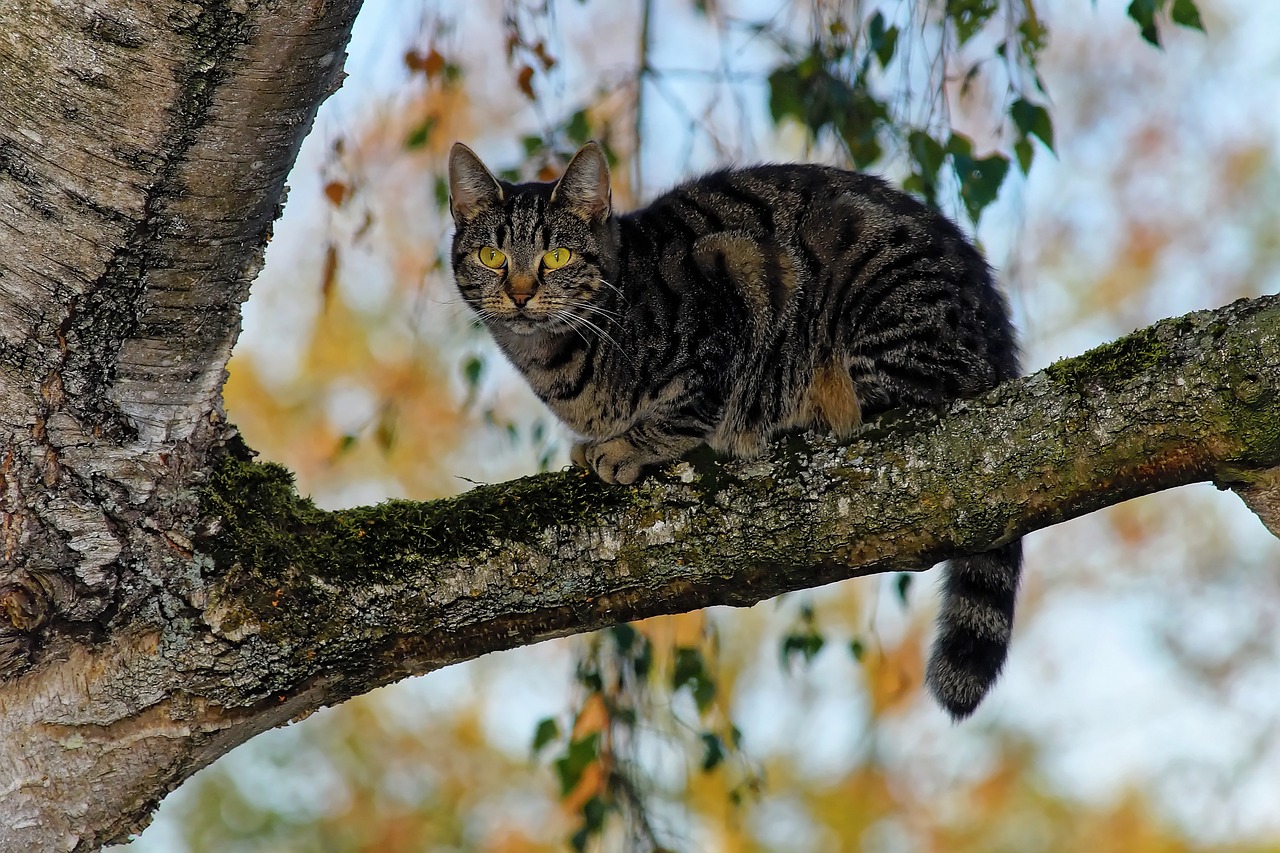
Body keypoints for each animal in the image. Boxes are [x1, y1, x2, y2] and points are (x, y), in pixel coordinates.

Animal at [448, 139, 1018, 717]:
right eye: (492, 256)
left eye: (557, 257)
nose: (520, 294)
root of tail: (1002, 348)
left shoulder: (726, 288)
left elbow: (688, 402)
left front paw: (627, 446)